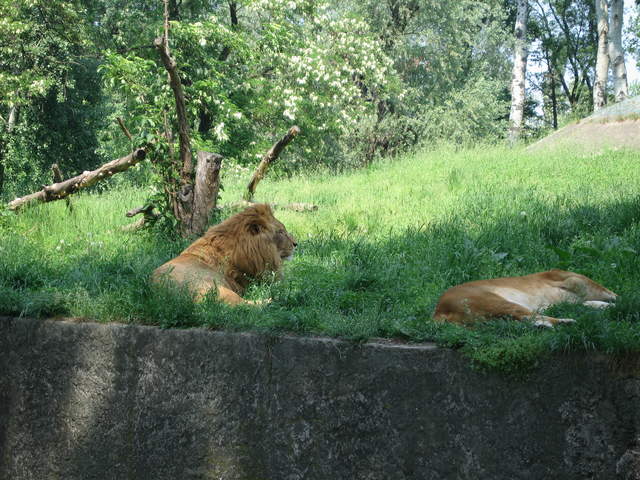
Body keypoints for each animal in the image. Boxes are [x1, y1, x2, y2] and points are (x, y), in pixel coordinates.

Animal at [433, 269, 617, 327]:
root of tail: (438, 310)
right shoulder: (562, 277)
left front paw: (604, 306)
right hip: (496, 302)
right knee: (531, 317)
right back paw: (567, 322)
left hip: (496, 316)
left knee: (529, 319)